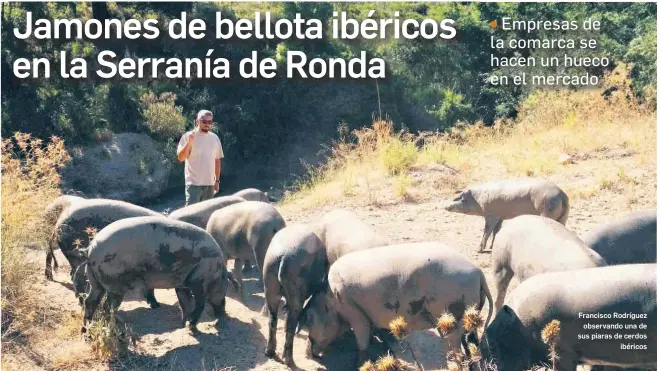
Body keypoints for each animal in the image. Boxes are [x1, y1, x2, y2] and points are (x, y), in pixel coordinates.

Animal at [79, 215, 240, 334]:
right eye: (225, 287)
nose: (224, 314)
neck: (218, 270)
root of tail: (90, 250)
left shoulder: (182, 283)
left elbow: (184, 302)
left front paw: (183, 323)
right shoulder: (199, 281)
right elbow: (199, 303)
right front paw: (192, 327)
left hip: (95, 281)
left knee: (90, 301)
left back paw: (86, 332)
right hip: (115, 284)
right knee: (107, 306)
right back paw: (115, 328)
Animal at [262, 224, 326, 366]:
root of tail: (284, 257)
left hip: (269, 279)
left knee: (272, 319)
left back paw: (270, 353)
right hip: (296, 284)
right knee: (291, 323)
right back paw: (289, 361)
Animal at [296, 241, 492, 370]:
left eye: (309, 322)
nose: (307, 354)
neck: (331, 300)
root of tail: (478, 272)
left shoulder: (353, 310)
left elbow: (362, 337)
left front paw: (359, 364)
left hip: (452, 311)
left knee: (457, 348)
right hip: (466, 313)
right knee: (470, 343)